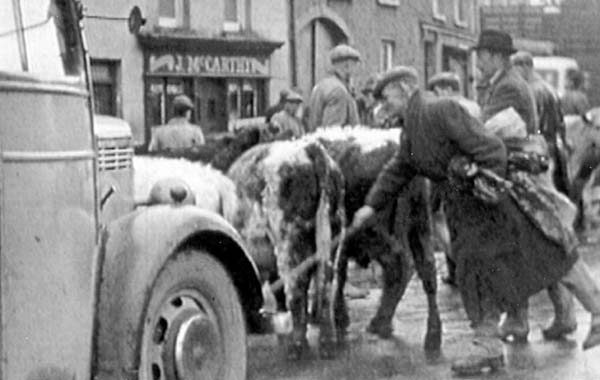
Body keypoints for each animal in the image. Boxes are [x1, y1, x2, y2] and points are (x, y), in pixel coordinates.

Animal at [227, 139, 344, 360]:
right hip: (333, 238)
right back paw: (327, 345)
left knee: (296, 289)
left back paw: (296, 349)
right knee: (325, 286)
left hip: (288, 242)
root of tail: (309, 147)